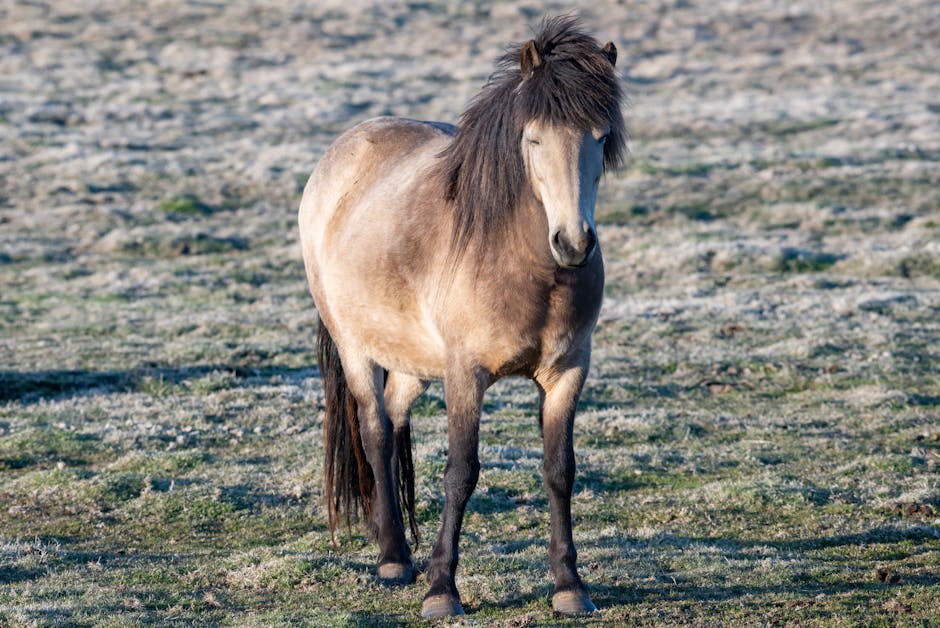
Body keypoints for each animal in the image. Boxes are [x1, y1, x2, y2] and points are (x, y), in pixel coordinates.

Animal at [300, 15, 624, 620]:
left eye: (601, 137)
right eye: (534, 138)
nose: (573, 243)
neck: (520, 263)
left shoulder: (568, 372)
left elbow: (560, 470)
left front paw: (569, 585)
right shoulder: (465, 374)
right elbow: (460, 473)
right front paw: (441, 590)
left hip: (411, 361)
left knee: (394, 421)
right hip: (355, 347)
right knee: (375, 430)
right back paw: (394, 559)